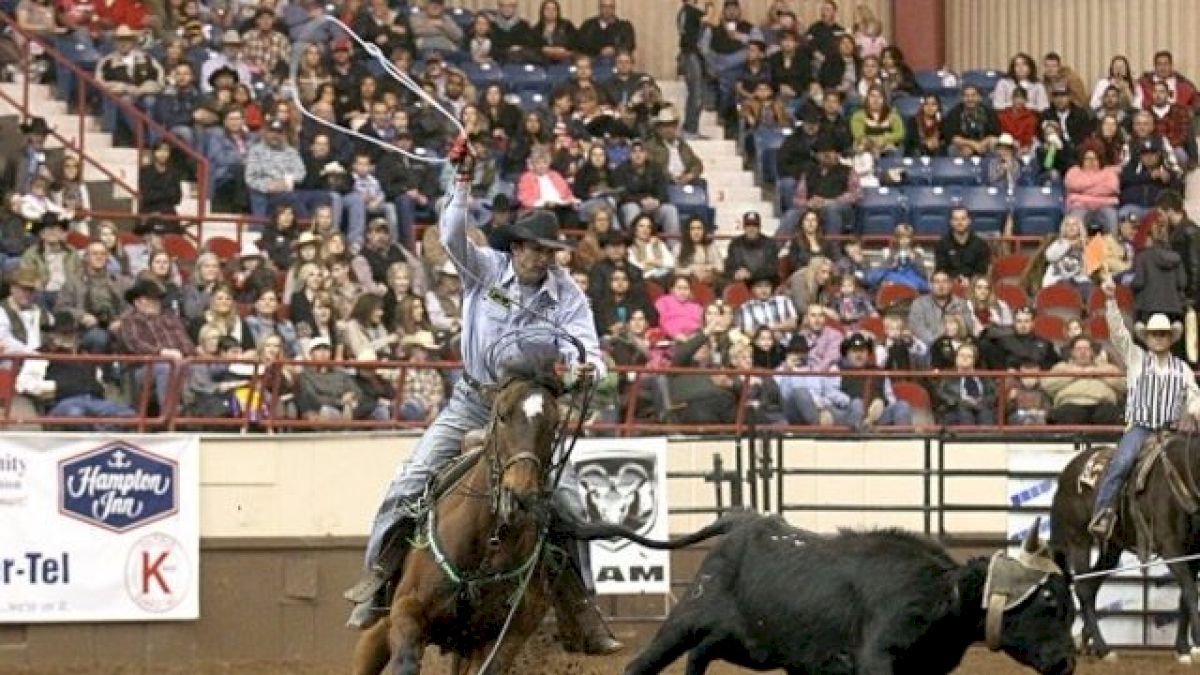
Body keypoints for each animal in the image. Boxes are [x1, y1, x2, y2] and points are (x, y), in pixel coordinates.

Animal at [350, 360, 571, 672]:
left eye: (554, 425)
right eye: (502, 415)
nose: (520, 494)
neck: (485, 542)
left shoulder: (503, 639)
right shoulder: (407, 611)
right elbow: (405, 661)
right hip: (384, 618)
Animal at [1046, 437, 1200, 662]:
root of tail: (1066, 473)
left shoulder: (1194, 551)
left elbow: (1185, 596)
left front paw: (1183, 649)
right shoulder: (1170, 547)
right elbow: (1190, 591)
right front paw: (1196, 643)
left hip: (1112, 547)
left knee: (1092, 584)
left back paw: (1086, 640)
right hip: (1078, 540)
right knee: (1083, 588)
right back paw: (1103, 648)